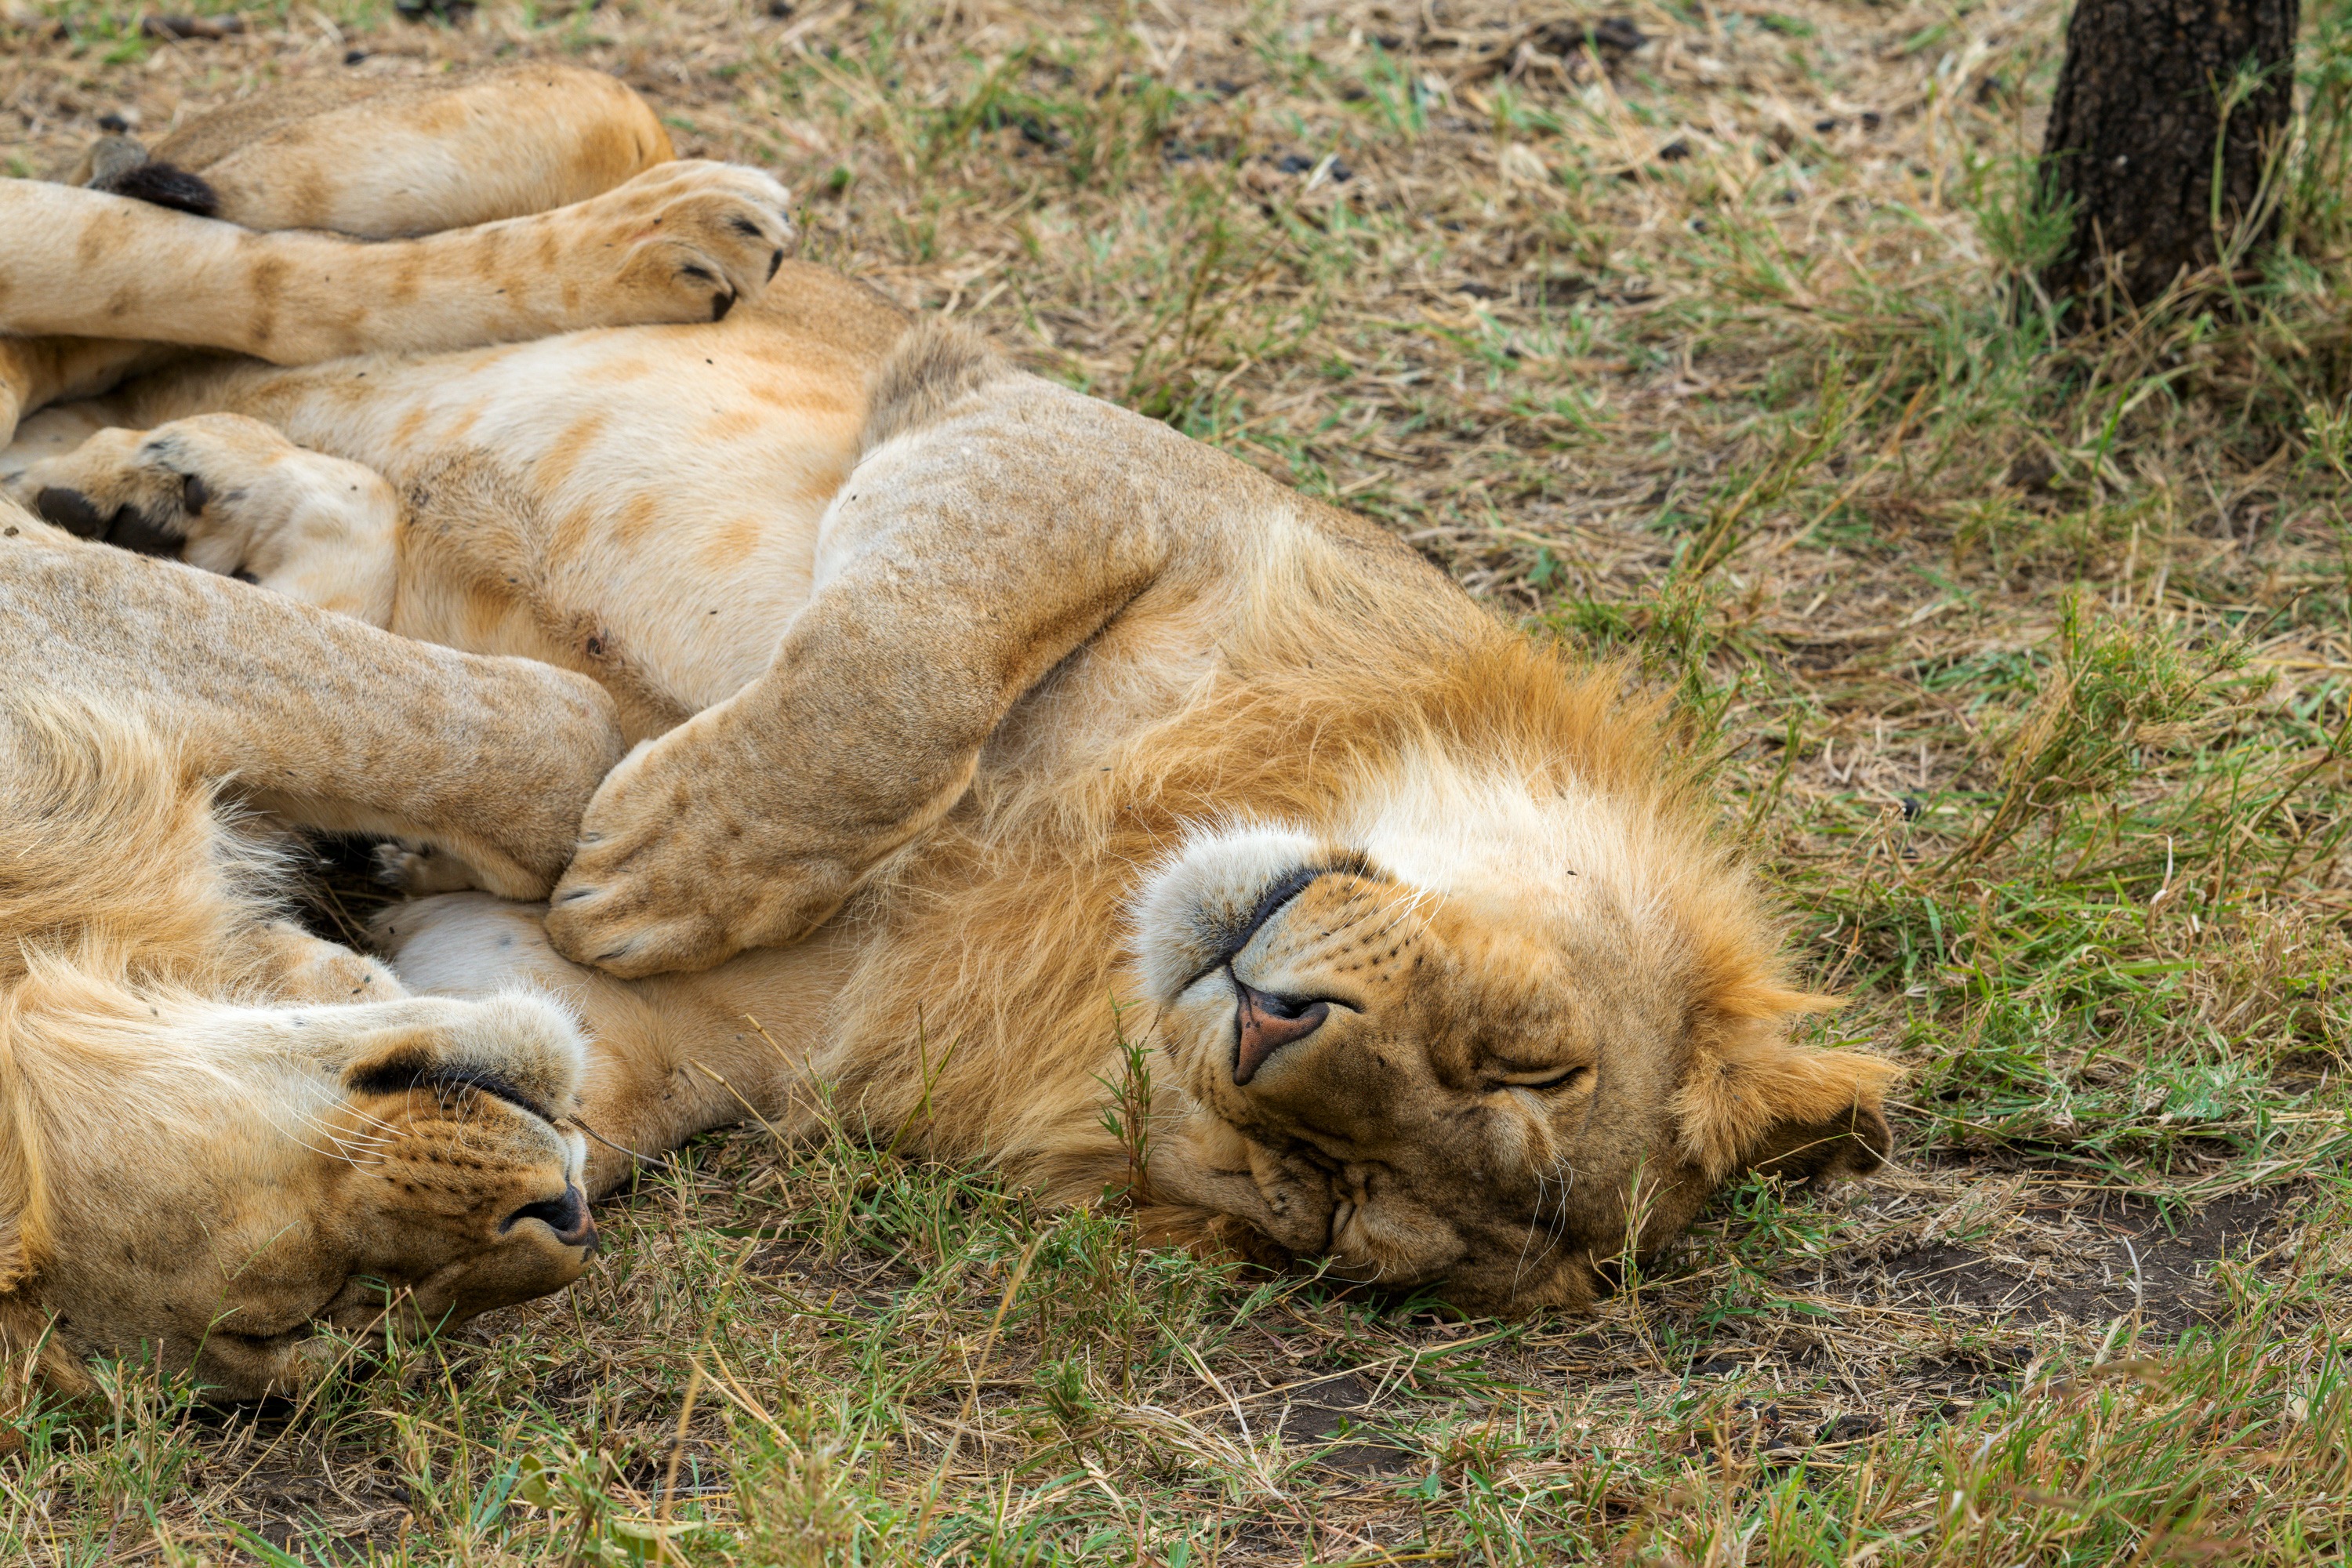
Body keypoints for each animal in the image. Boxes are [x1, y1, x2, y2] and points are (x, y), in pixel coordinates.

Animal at [0, 67, 1895, 1384]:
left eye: (1329, 1199)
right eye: (1529, 1052)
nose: (1272, 1023)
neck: (1099, 887)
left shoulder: (656, 1039)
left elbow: (508, 1040)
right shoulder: (1044, 439)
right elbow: (897, 664)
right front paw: (675, 853)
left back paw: (177, 497)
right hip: (545, 122)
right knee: (207, 262)